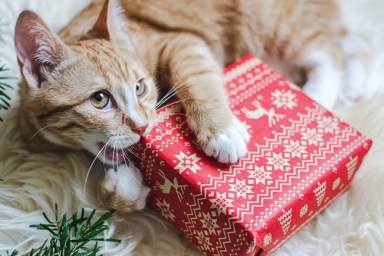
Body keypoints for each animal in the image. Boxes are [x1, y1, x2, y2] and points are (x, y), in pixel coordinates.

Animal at [13, 0, 364, 212]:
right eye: (100, 100)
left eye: (140, 87)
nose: (143, 126)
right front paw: (123, 188)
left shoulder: (180, 42)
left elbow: (196, 78)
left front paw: (220, 131)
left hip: (271, 21)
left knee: (331, 52)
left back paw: (319, 93)